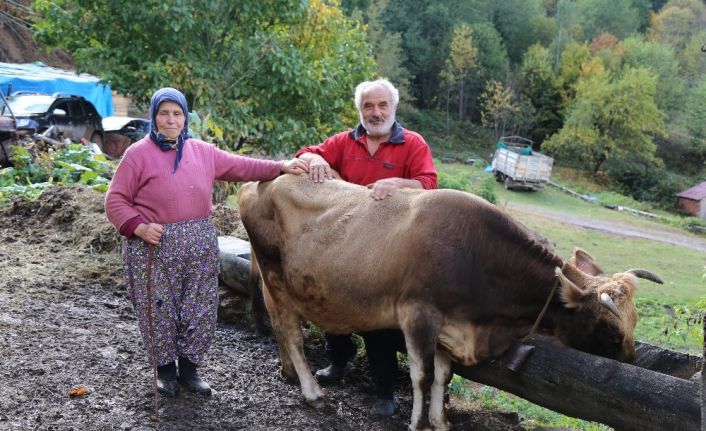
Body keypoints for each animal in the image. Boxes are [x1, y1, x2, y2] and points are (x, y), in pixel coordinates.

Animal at [239, 174, 664, 430]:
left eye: (635, 322)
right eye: (611, 330)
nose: (631, 363)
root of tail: (263, 179)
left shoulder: (452, 326)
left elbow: (444, 375)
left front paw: (440, 421)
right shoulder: (418, 315)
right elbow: (422, 375)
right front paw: (416, 423)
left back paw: (290, 374)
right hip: (275, 278)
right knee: (290, 331)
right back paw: (312, 392)